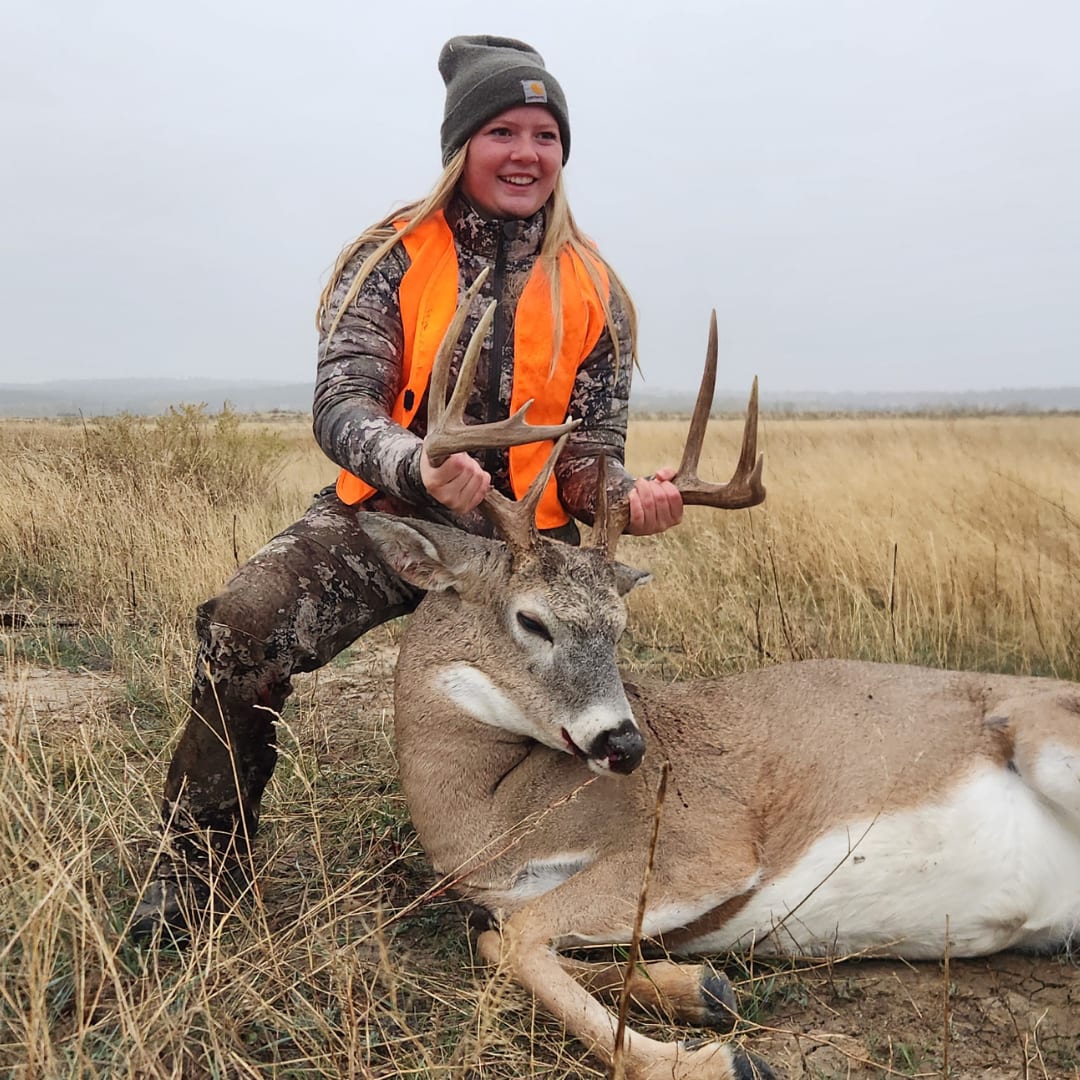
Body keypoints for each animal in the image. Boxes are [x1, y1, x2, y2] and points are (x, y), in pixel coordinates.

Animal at [355, 280, 1080, 1080]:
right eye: (532, 619)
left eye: (621, 626)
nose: (626, 745)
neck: (488, 818)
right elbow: (500, 938)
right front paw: (700, 990)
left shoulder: (701, 847)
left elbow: (518, 938)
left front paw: (708, 1059)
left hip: (1048, 737)